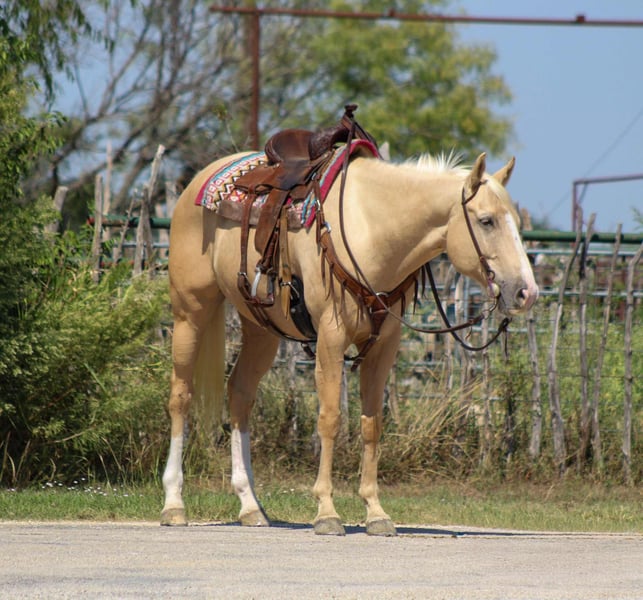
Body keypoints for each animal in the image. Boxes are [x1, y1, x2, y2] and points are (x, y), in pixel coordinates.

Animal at [160, 129, 538, 536]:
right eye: (486, 221)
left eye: (516, 223)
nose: (527, 292)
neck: (371, 229)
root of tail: (198, 180)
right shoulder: (331, 337)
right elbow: (330, 419)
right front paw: (327, 512)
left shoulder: (384, 346)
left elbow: (372, 425)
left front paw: (376, 513)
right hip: (190, 312)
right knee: (180, 396)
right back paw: (174, 504)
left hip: (261, 329)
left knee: (240, 394)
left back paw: (250, 506)